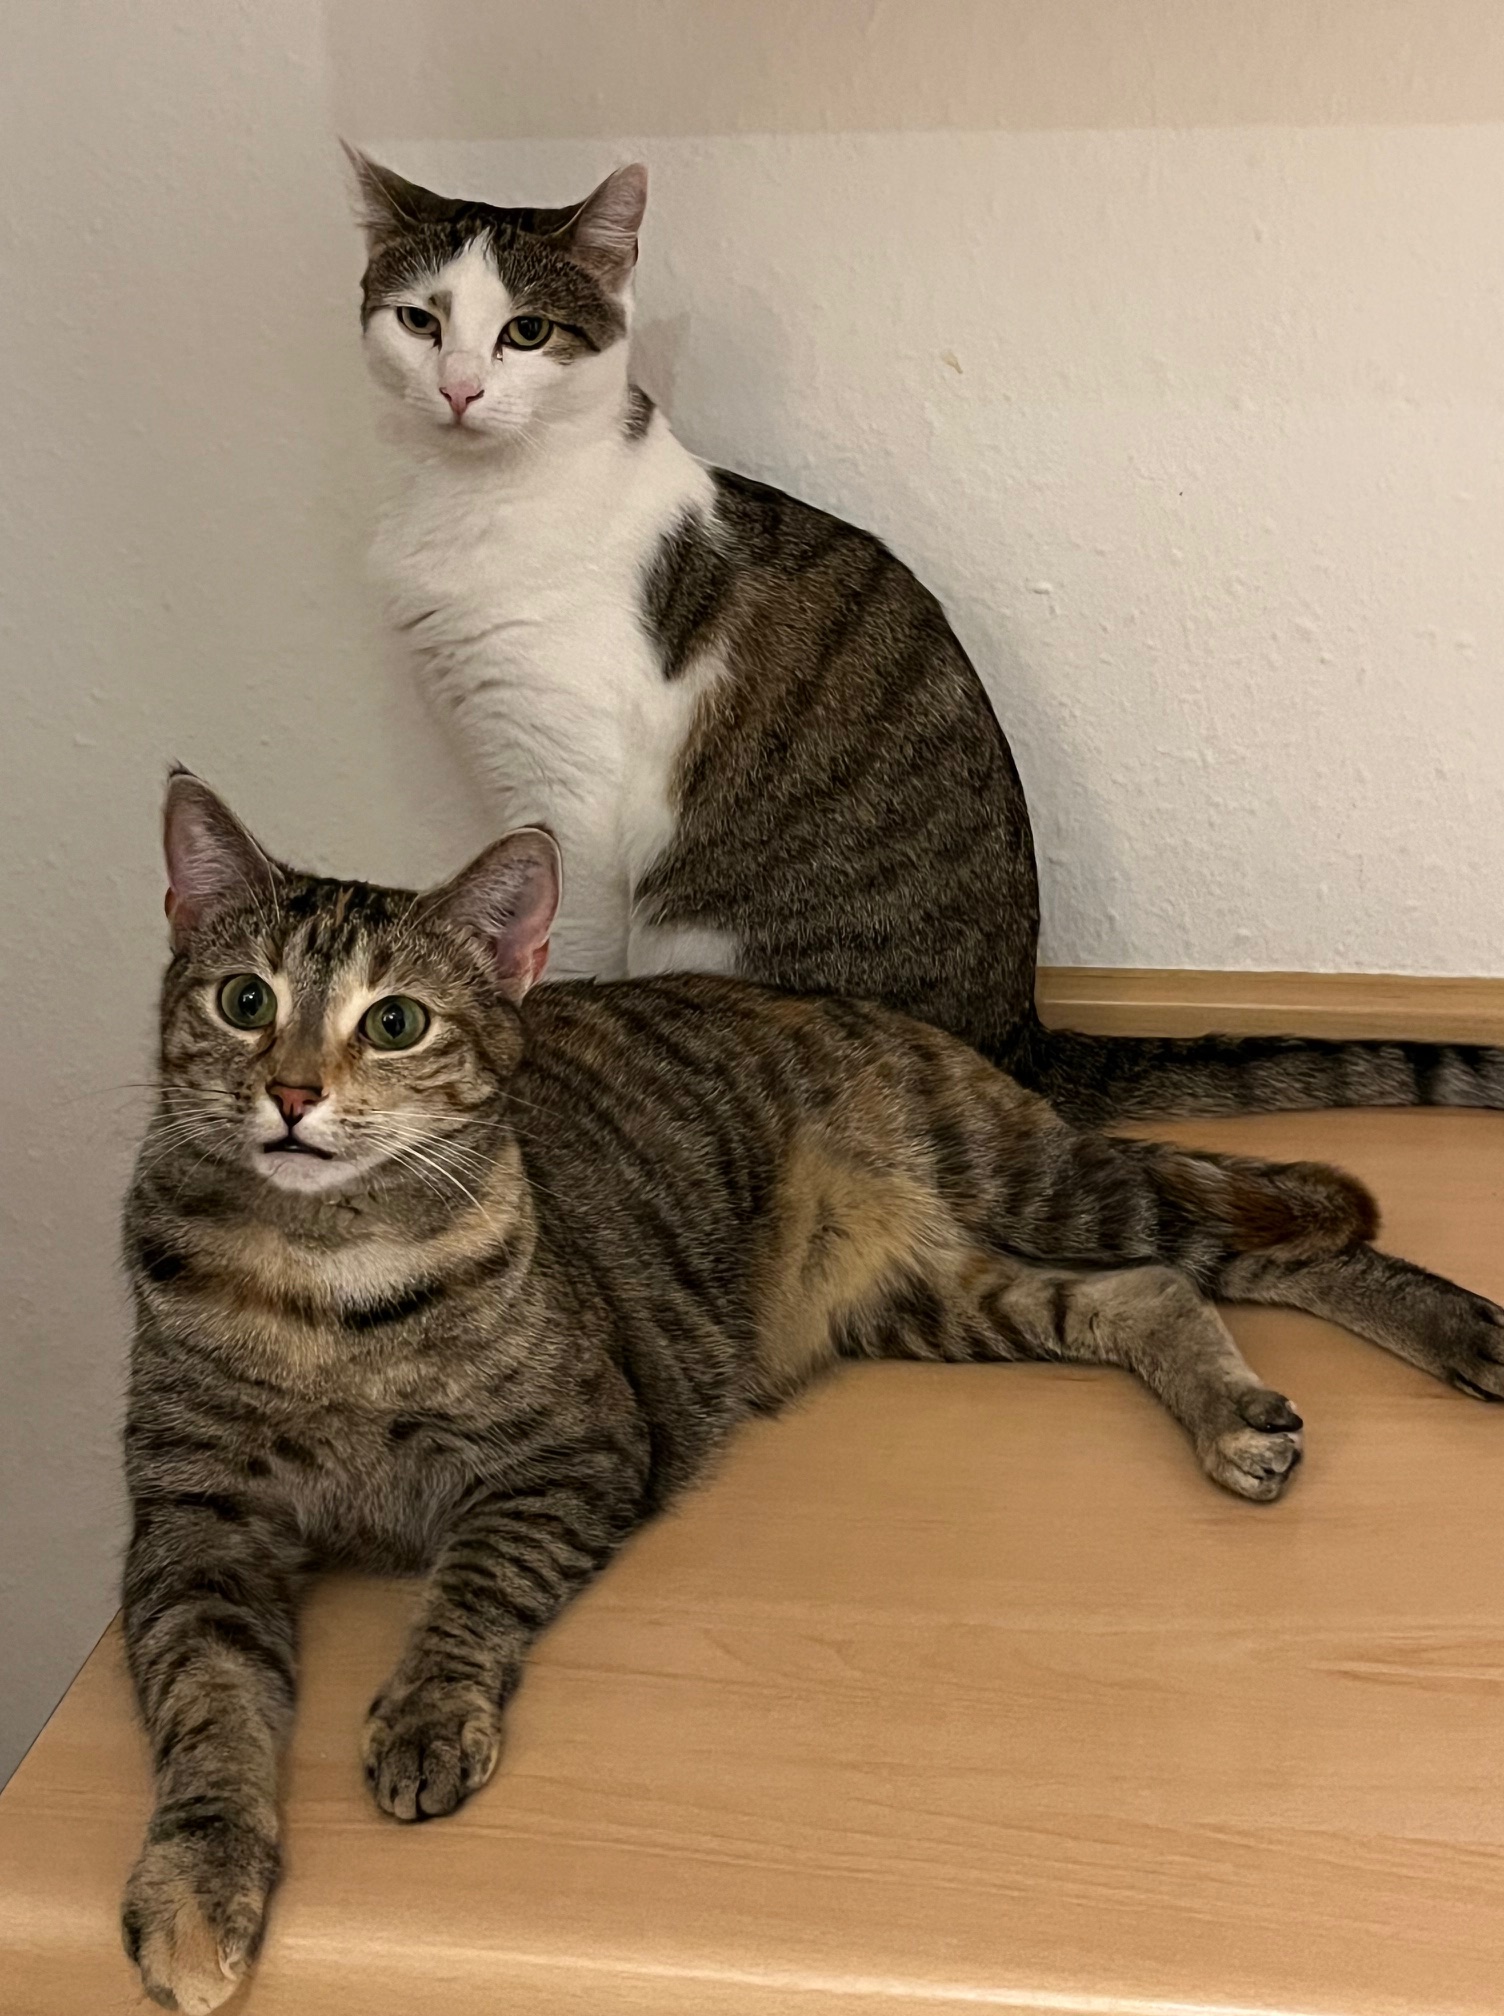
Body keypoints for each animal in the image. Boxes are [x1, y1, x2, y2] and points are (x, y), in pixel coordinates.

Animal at [120, 771, 1504, 2012]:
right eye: (244, 1001)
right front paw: (195, 1888)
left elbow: (467, 1590)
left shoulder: (568, 1452)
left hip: (1045, 1183)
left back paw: (1451, 1326)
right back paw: (1237, 1408)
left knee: (1281, 1227)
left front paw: (422, 1714)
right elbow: (207, 1703)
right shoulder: (192, 1527)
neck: (323, 1279)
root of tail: (873, 1007)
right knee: (1155, 1290)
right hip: (942, 1297)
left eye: (395, 1022)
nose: (292, 1092)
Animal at [346, 149, 1504, 1128]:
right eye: (419, 320)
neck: (474, 502)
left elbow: (559, 950)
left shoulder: (574, 796)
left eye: (526, 333)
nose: (459, 386)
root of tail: (1022, 1035)